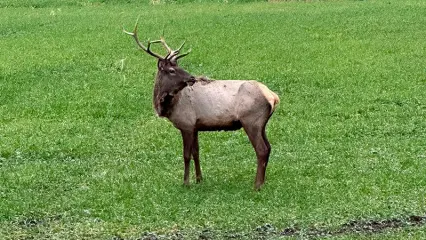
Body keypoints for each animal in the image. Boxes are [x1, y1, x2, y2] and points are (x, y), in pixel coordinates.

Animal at [123, 23, 280, 191]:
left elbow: (186, 155)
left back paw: (257, 185)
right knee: (268, 147)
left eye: (177, 66)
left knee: (261, 149)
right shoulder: (195, 126)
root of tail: (273, 97)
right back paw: (263, 182)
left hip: (251, 121)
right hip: (262, 124)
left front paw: (186, 182)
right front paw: (199, 179)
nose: (192, 78)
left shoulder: (186, 124)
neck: (170, 106)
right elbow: (196, 152)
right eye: (172, 70)